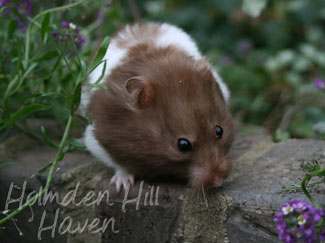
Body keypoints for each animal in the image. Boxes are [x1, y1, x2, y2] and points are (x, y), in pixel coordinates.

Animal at [81, 21, 233, 191]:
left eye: (220, 131)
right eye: (183, 145)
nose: (218, 181)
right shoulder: (97, 138)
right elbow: (119, 164)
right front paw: (122, 186)